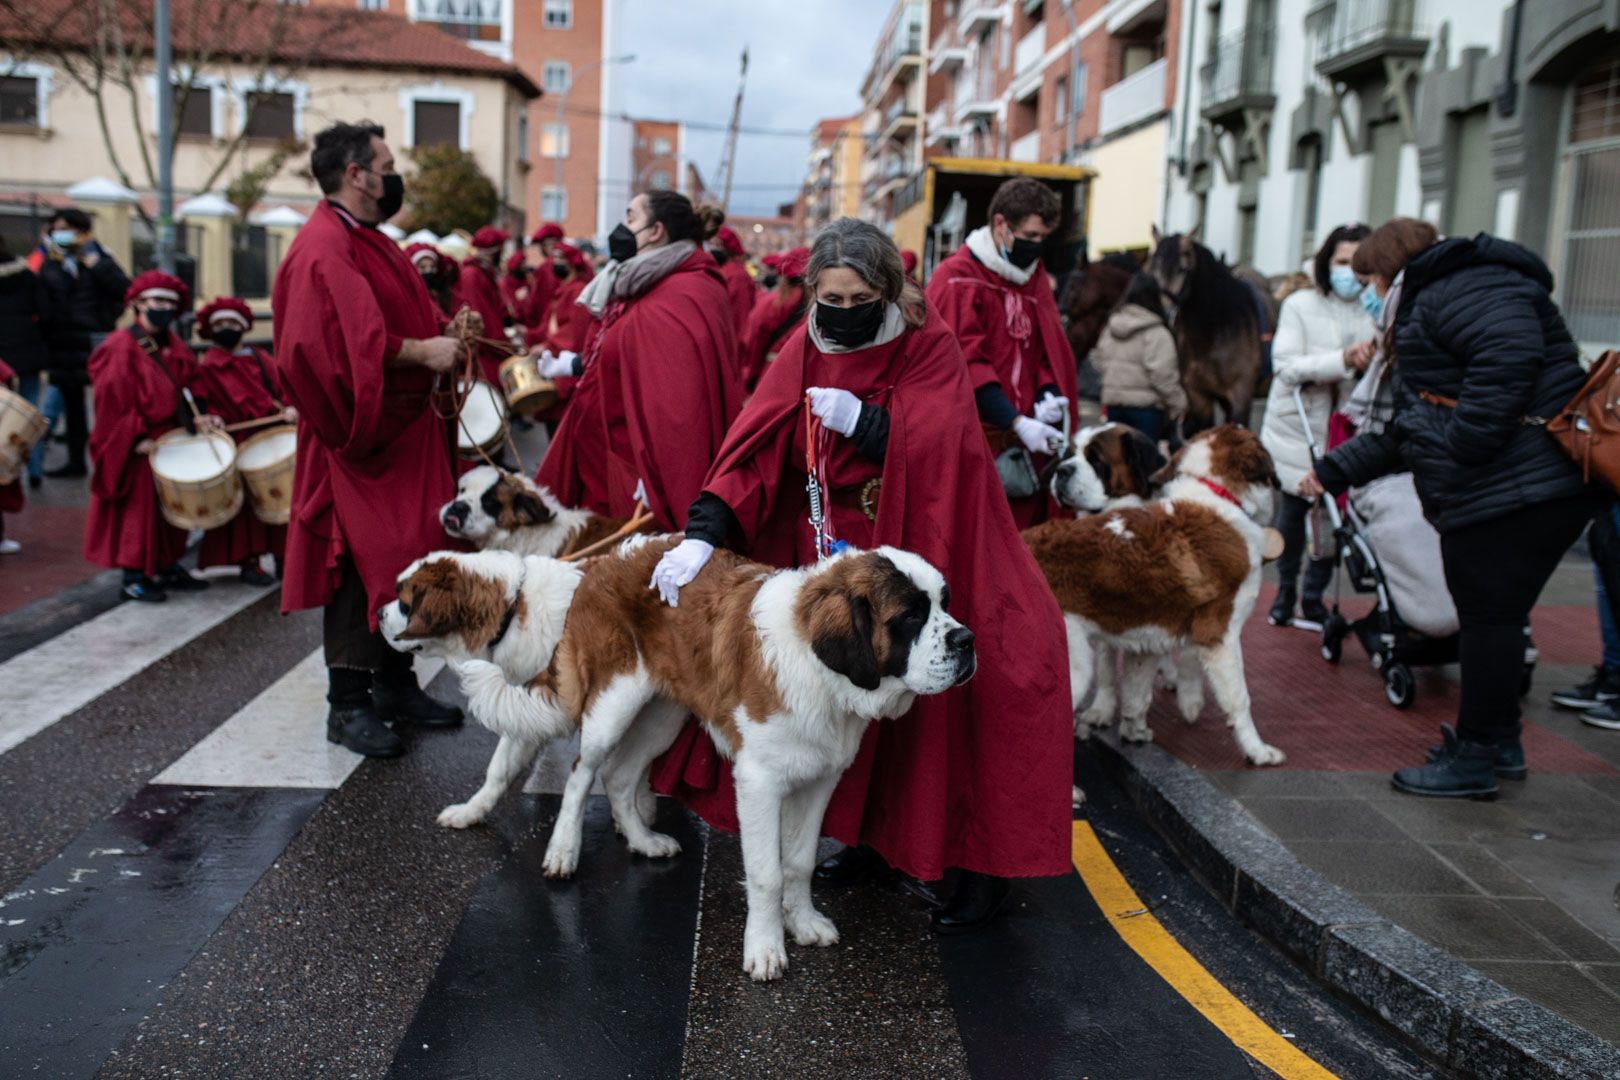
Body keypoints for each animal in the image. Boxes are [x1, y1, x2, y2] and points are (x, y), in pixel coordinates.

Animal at [375, 537, 972, 977]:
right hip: (614, 702)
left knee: (620, 776)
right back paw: (564, 851)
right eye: (910, 617)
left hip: (663, 714)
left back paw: (642, 839)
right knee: (583, 772)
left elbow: (798, 861)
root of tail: (604, 562)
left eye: (944, 603)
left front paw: (802, 924)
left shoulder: (819, 779)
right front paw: (765, 949)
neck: (818, 665)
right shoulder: (759, 782)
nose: (966, 640)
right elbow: (766, 872)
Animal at [1030, 427, 1283, 764]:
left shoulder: (1148, 638)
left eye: (1096, 460)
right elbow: (1239, 699)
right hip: (1074, 666)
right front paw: (1257, 750)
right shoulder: (1221, 634)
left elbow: (1138, 691)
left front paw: (1136, 730)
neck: (1217, 493)